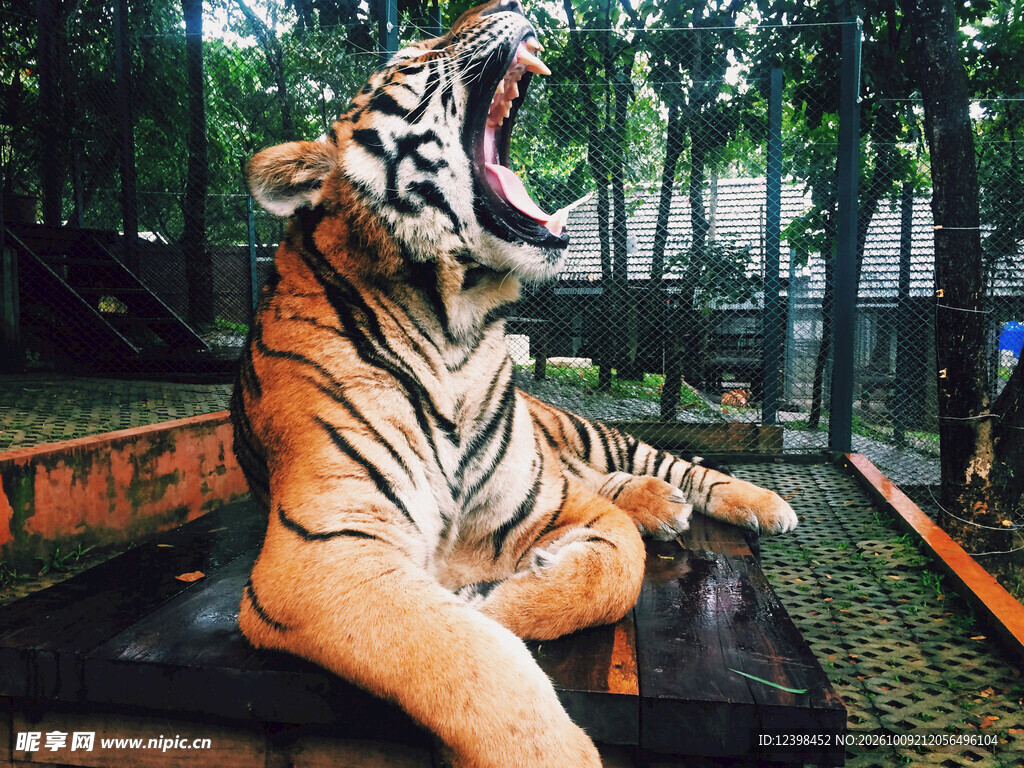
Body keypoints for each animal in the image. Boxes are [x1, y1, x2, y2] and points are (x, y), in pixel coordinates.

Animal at [229, 1, 798, 765]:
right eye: (410, 55)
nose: (498, 7)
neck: (456, 328)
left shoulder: (547, 500)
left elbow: (616, 568)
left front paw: (499, 600)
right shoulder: (325, 552)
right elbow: (461, 651)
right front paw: (486, 625)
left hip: (588, 435)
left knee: (673, 466)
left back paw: (758, 504)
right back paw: (662, 507)